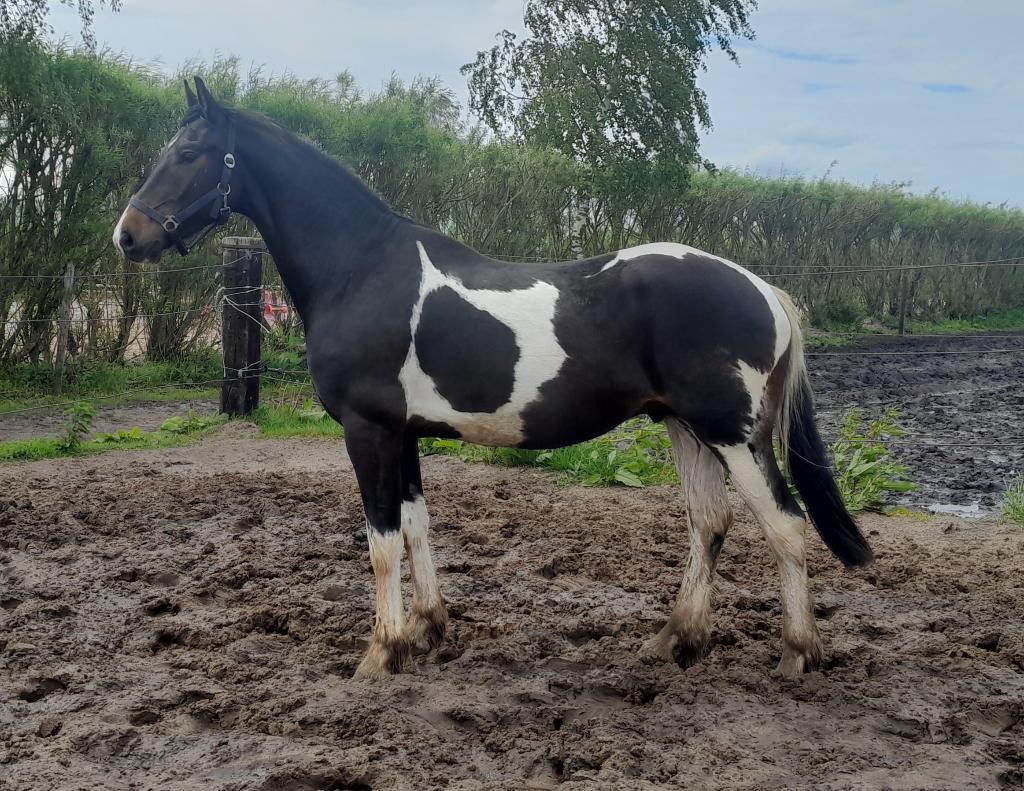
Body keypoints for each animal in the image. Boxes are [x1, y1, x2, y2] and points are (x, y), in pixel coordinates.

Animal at [113, 78, 873, 681]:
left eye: (188, 153)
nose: (127, 236)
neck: (362, 268)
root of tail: (761, 287)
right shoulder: (406, 434)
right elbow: (416, 528)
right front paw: (426, 631)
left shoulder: (369, 431)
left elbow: (381, 542)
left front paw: (379, 654)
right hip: (686, 426)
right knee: (710, 522)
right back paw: (676, 640)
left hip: (733, 433)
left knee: (785, 525)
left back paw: (799, 652)